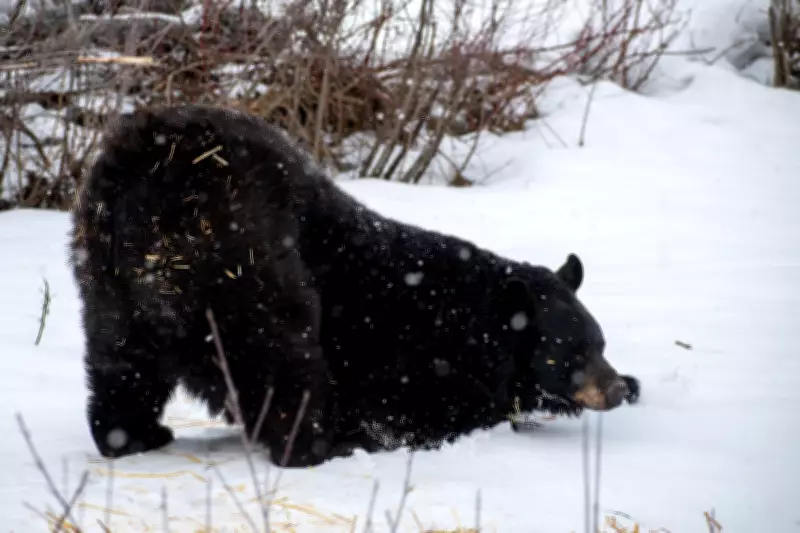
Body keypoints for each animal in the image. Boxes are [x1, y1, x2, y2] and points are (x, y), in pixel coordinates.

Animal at [70, 103, 640, 468]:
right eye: (572, 349)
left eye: (601, 342)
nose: (612, 387)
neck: (478, 326)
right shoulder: (416, 355)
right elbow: (431, 408)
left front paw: (633, 382)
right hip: (246, 266)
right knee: (281, 358)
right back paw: (317, 446)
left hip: (105, 282)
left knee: (119, 366)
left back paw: (134, 436)